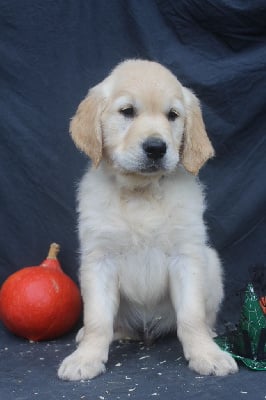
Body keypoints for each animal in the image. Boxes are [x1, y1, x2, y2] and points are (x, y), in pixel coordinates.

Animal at [57, 57, 237, 380]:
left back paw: (211, 335)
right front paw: (86, 358)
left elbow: (191, 316)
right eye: (127, 111)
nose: (156, 148)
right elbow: (97, 320)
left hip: (212, 263)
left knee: (203, 316)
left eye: (173, 115)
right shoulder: (99, 260)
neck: (141, 192)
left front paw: (206, 354)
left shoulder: (186, 256)